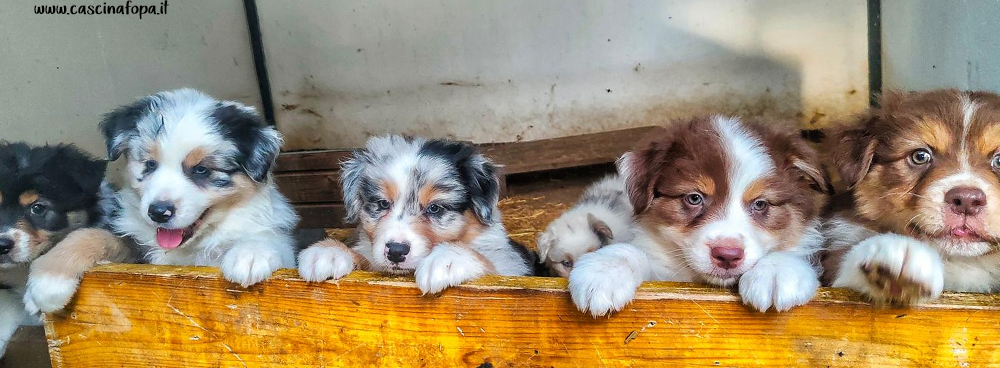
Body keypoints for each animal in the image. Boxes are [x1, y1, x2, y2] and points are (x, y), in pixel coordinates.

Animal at [22, 88, 296, 316]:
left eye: (201, 170)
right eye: (150, 164)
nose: (158, 212)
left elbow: (271, 241)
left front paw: (250, 254)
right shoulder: (136, 247)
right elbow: (90, 235)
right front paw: (46, 284)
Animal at [298, 135, 540, 294]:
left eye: (435, 208)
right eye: (383, 203)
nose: (396, 252)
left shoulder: (510, 267)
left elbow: (487, 261)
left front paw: (446, 259)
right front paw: (329, 252)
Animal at [568, 116, 832, 318]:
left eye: (760, 204)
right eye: (694, 198)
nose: (727, 255)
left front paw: (776, 272)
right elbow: (633, 253)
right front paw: (603, 271)